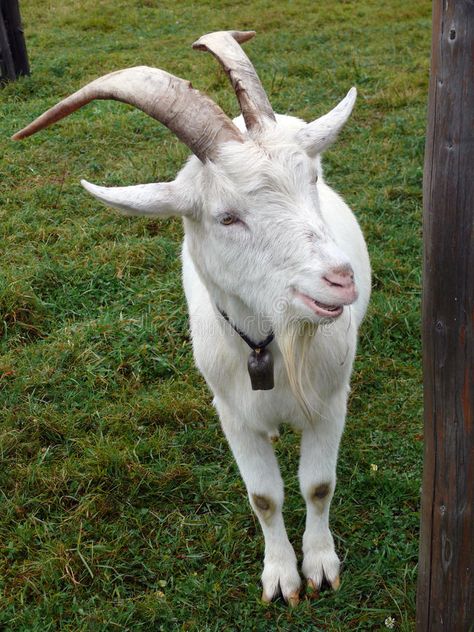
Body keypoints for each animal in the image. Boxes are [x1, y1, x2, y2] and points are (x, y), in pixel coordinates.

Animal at [12, 30, 370, 608]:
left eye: (312, 179)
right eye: (227, 217)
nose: (339, 280)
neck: (268, 345)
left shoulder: (329, 402)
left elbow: (318, 486)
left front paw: (319, 565)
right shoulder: (232, 412)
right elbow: (264, 497)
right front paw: (281, 576)